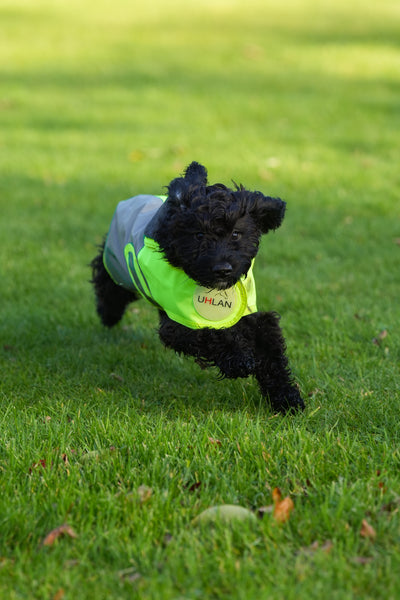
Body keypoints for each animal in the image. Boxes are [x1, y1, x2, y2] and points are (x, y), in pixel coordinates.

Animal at [90, 161, 304, 412]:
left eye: (236, 234)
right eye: (199, 235)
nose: (223, 269)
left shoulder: (253, 316)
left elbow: (272, 353)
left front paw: (287, 398)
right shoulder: (179, 323)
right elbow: (212, 335)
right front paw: (238, 359)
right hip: (116, 267)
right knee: (107, 285)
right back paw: (108, 315)